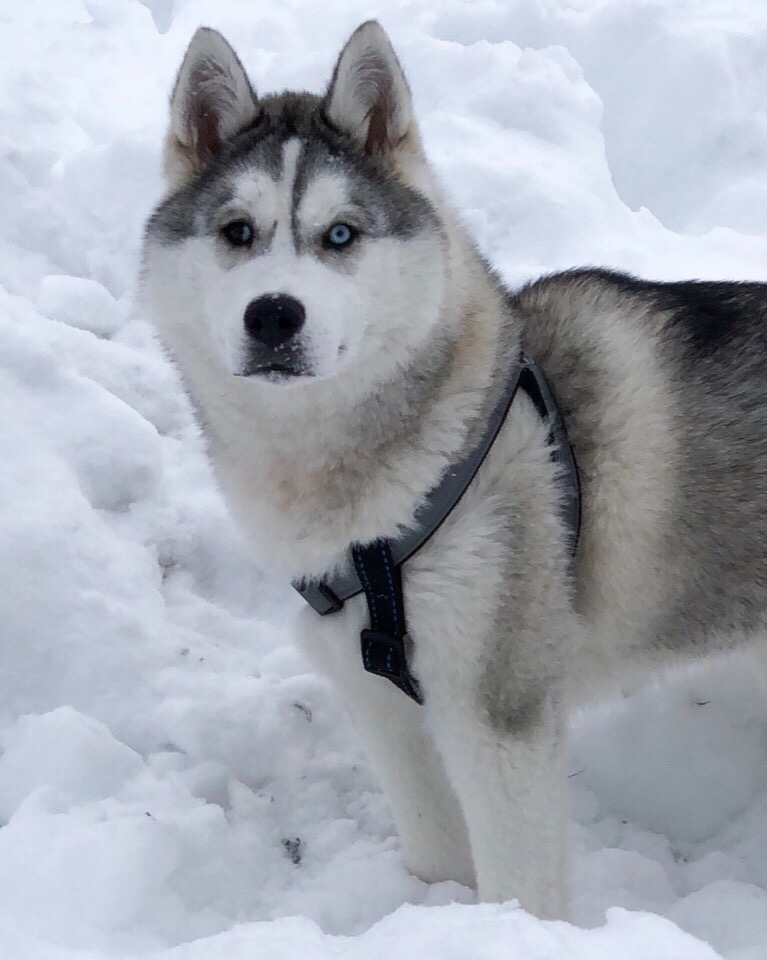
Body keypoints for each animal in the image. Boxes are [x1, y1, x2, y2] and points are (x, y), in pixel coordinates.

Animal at [141, 22, 767, 920]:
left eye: (340, 235)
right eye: (236, 232)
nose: (274, 316)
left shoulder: (497, 711)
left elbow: (519, 886)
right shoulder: (380, 699)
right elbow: (437, 855)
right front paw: (431, 916)